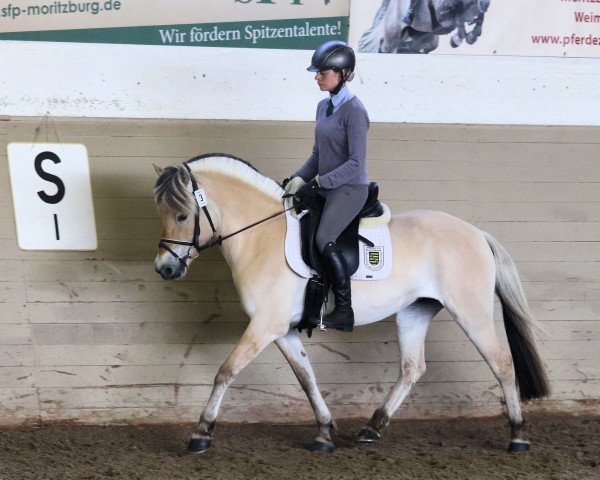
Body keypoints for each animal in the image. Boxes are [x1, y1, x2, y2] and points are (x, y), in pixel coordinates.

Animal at [154, 153, 548, 454]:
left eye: (182, 215)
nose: (165, 268)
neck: (260, 236)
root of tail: (476, 233)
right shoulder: (282, 330)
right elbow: (306, 378)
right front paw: (325, 433)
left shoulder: (265, 325)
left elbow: (227, 371)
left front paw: (201, 432)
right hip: (415, 311)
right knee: (412, 368)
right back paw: (373, 427)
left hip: (471, 312)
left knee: (502, 364)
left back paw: (518, 436)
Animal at [358, 0, 490, 54]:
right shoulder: (443, 12)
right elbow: (457, 15)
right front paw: (457, 40)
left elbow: (480, 15)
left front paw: (471, 36)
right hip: (393, 32)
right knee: (385, 47)